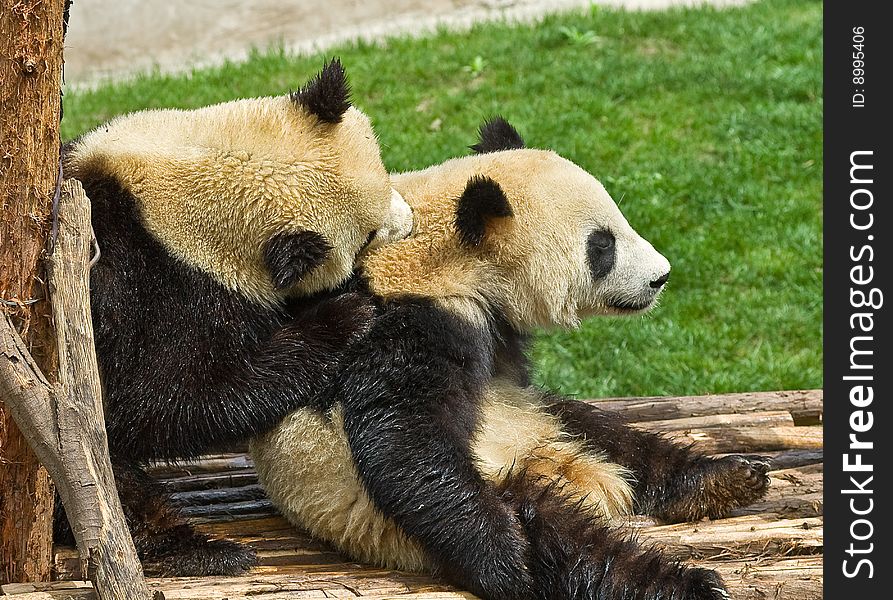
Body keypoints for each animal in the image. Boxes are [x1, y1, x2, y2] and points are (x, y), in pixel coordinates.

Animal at [60, 59, 414, 576]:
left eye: (385, 172)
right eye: (366, 237)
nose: (411, 223)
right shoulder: (149, 287)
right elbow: (159, 401)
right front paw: (345, 316)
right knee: (101, 481)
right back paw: (199, 551)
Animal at [249, 117, 768, 600]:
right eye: (602, 245)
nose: (661, 276)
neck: (444, 258)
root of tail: (564, 469)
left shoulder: (502, 348)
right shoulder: (406, 321)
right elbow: (402, 434)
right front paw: (504, 558)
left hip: (537, 419)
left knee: (611, 436)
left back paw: (724, 479)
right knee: (567, 542)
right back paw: (684, 582)